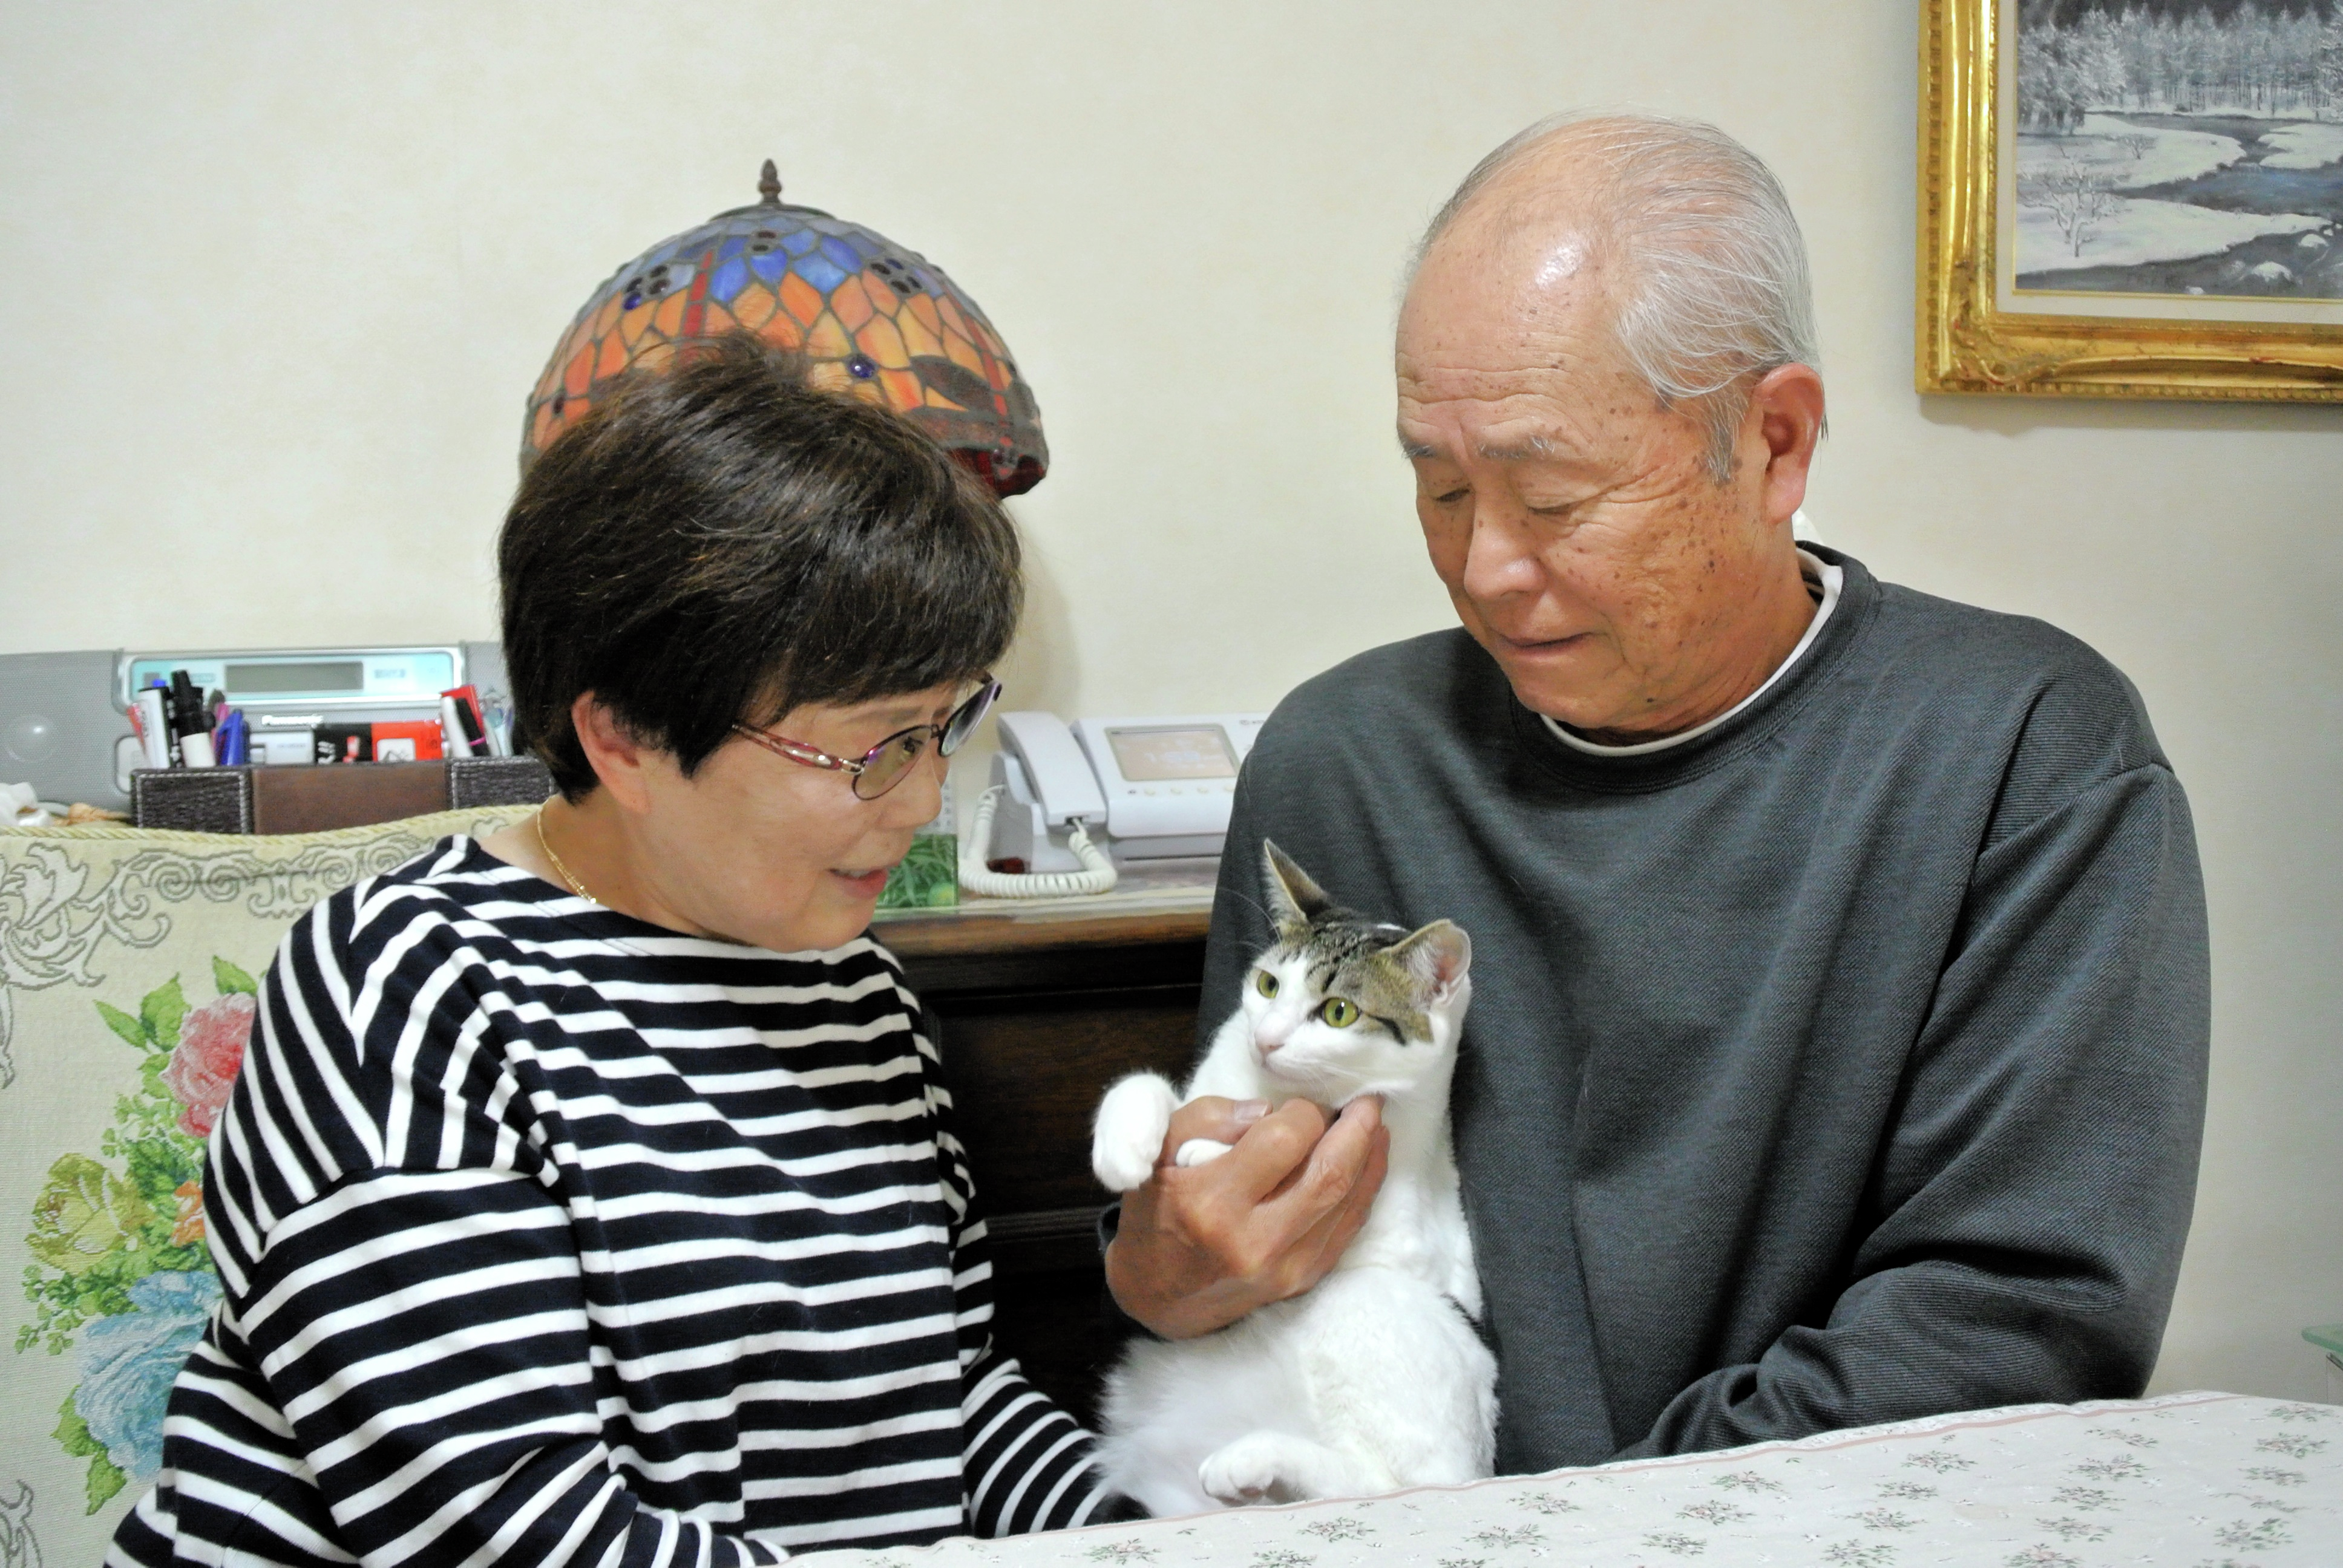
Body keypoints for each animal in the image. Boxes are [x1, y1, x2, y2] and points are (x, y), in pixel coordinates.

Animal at [1082, 843, 1490, 1518]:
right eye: (1268, 985)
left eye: (1338, 1012)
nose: (1266, 1039)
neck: (1274, 1090)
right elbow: (1145, 1087)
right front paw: (1126, 1146)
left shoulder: (1390, 1190)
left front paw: (1203, 1152)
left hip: (1376, 1308)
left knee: (1393, 1484)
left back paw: (1257, 1456)